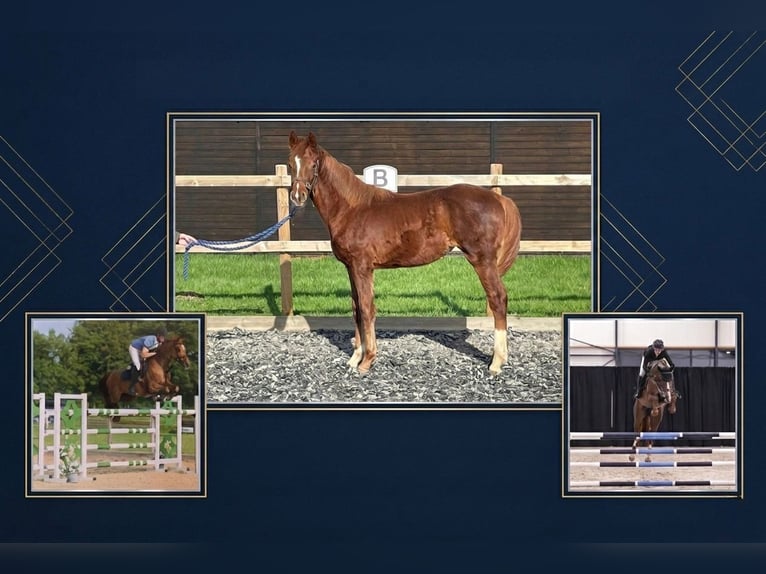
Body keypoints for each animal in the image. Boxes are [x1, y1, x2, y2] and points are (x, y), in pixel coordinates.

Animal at [288, 131, 522, 375]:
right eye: (290, 164)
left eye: (313, 163)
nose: (297, 196)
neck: (352, 209)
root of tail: (499, 199)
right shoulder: (351, 268)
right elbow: (356, 309)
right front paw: (354, 358)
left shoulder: (362, 267)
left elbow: (367, 308)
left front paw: (367, 361)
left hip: (482, 261)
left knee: (498, 298)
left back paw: (496, 362)